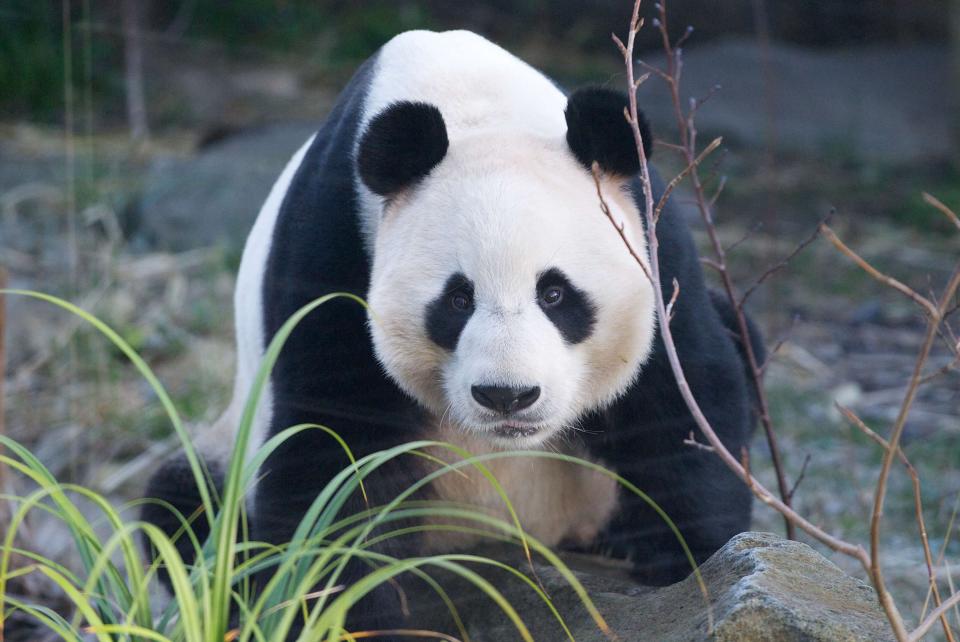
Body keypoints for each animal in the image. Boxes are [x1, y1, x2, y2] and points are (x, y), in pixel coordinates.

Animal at [139, 27, 760, 632]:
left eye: (555, 294)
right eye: (458, 300)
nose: (508, 396)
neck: (469, 103)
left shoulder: (650, 241)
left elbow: (683, 395)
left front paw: (692, 567)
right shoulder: (334, 246)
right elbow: (336, 447)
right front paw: (344, 613)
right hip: (229, 451)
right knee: (180, 512)